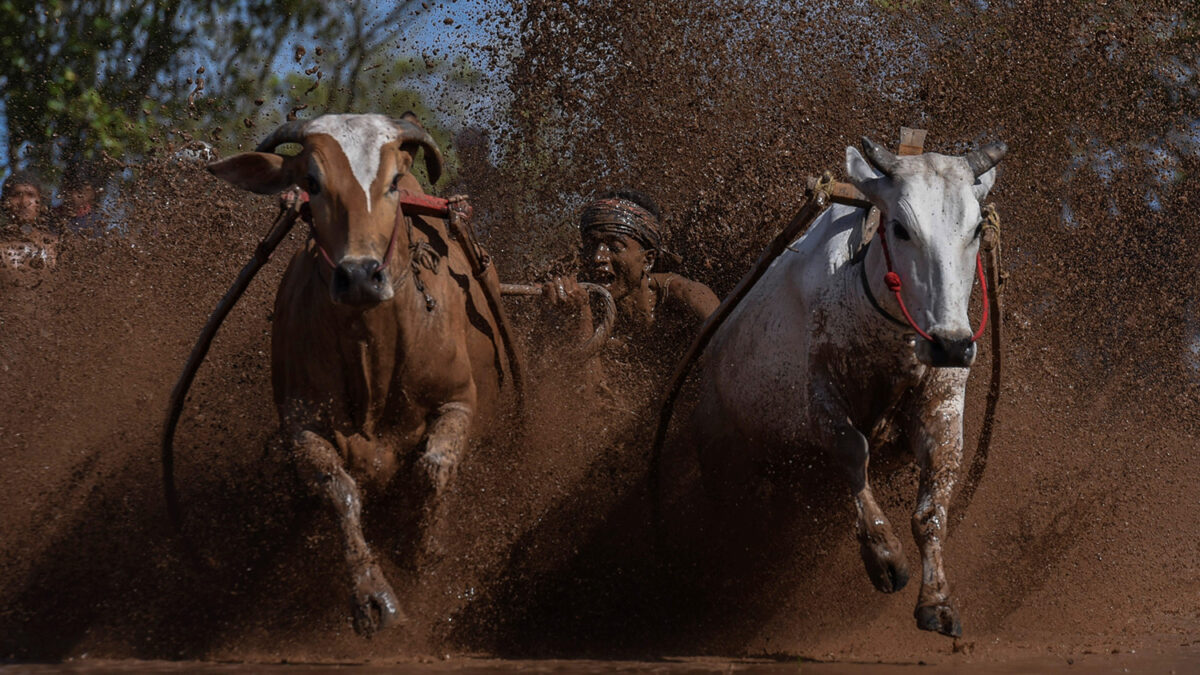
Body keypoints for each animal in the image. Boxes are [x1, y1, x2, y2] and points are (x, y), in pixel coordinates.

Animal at [208, 112, 518, 634]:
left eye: (393, 182)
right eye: (311, 182)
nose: (358, 276)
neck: (373, 359)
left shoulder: (458, 400)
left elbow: (433, 468)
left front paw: (422, 549)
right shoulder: (301, 426)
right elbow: (340, 490)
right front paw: (373, 596)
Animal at [691, 138, 1008, 634]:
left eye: (976, 228)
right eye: (900, 228)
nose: (952, 345)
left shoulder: (943, 407)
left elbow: (932, 509)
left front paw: (937, 601)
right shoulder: (820, 400)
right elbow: (852, 450)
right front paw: (884, 555)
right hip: (722, 455)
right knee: (730, 526)